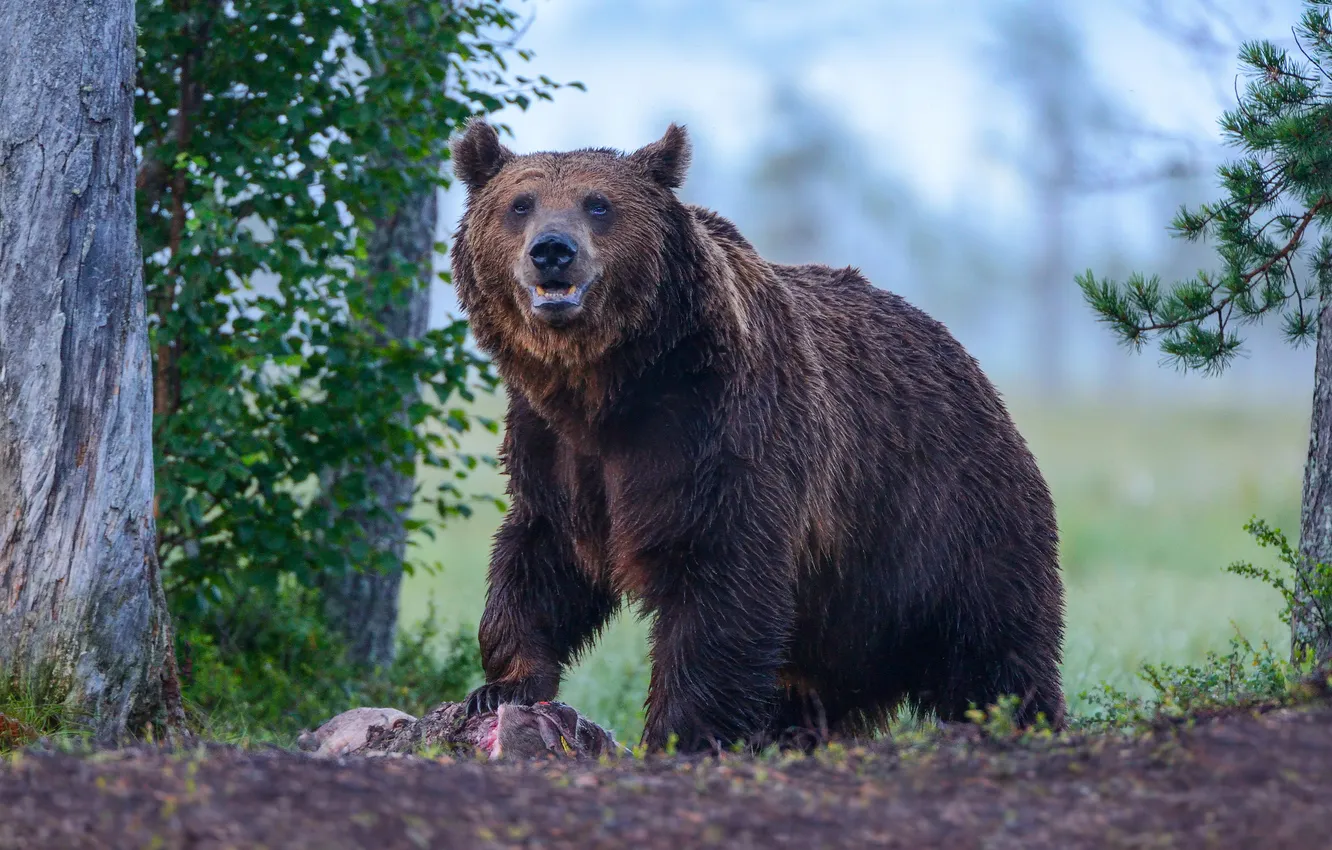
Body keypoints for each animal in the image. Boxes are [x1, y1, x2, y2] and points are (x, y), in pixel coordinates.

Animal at [449, 118, 1066, 753]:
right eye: (520, 204)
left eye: (598, 204)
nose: (553, 250)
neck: (608, 388)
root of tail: (975, 370)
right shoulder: (553, 449)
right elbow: (540, 559)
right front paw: (499, 686)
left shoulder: (719, 437)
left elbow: (721, 583)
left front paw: (678, 733)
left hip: (943, 517)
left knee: (993, 646)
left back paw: (1020, 721)